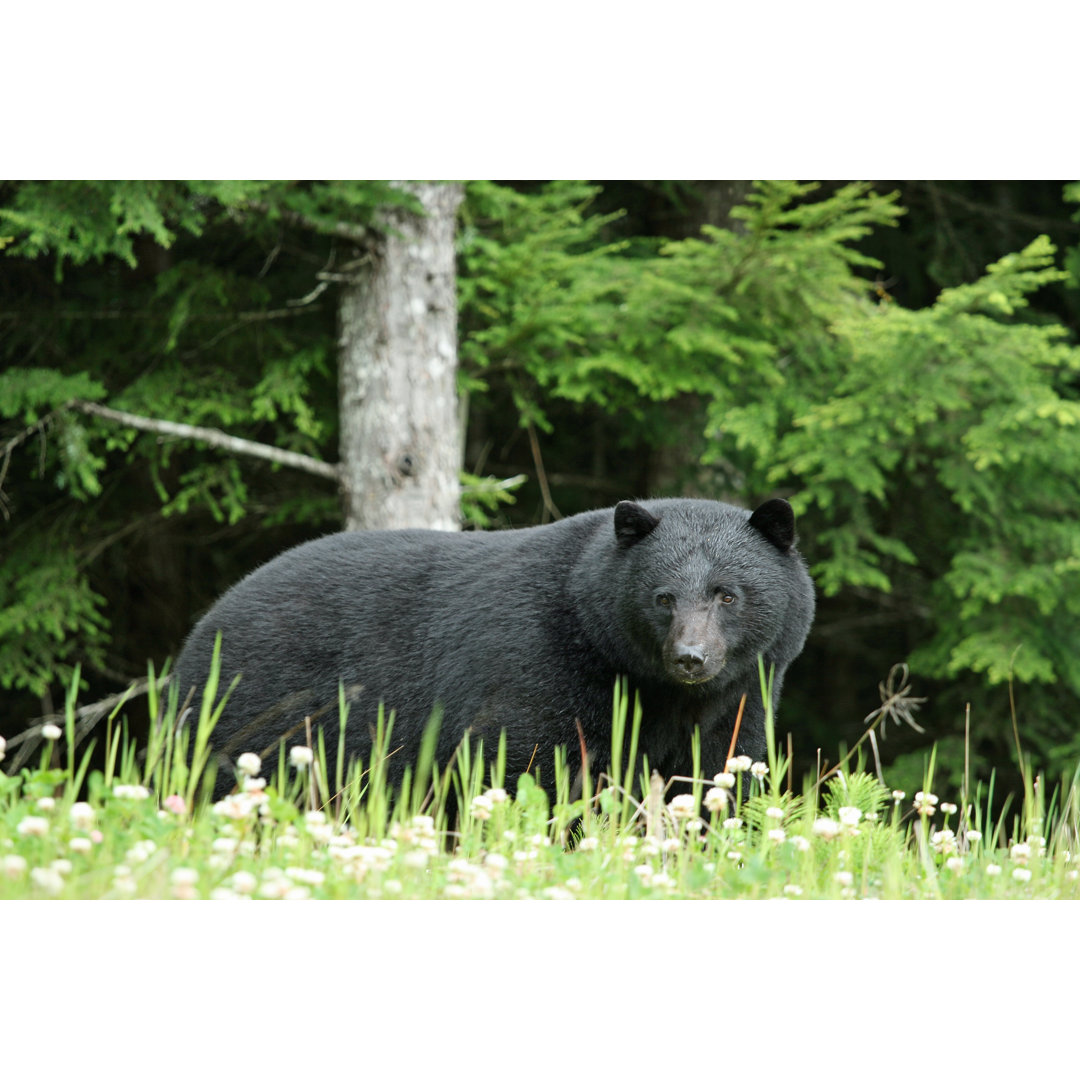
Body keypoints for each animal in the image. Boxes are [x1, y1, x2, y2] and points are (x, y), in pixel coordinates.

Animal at [172, 496, 812, 803]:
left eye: (727, 594)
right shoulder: (540, 664)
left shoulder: (740, 696)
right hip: (257, 711)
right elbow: (526, 766)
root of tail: (206, 622)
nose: (690, 657)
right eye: (663, 596)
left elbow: (717, 772)